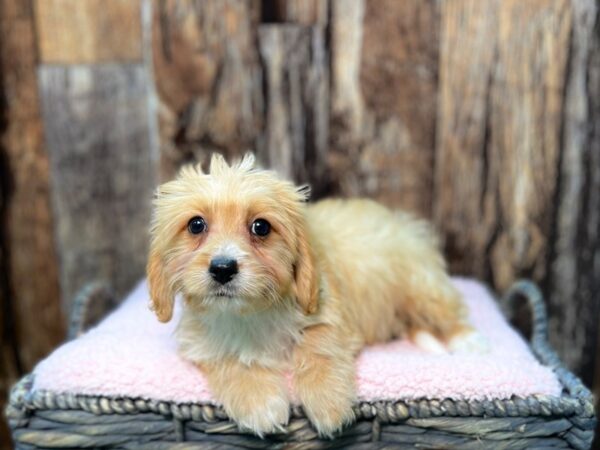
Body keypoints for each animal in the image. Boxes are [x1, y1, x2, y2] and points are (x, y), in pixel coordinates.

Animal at [148, 153, 486, 438]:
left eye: (261, 227)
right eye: (196, 225)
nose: (222, 268)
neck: (250, 313)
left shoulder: (327, 310)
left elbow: (319, 346)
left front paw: (327, 403)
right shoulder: (201, 341)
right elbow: (228, 360)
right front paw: (260, 403)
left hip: (421, 287)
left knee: (446, 312)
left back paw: (468, 341)